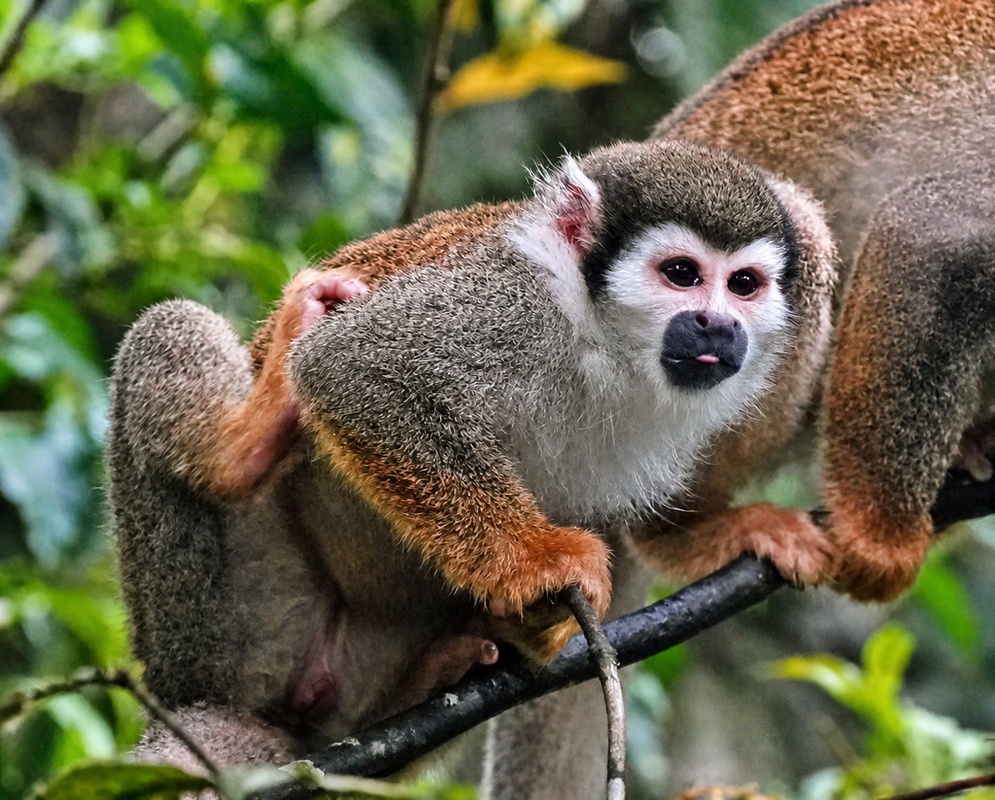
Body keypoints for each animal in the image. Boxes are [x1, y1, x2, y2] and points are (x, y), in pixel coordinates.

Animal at [108, 138, 836, 778]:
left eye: (743, 285)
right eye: (682, 274)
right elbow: (357, 366)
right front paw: (535, 562)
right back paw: (241, 446)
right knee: (168, 327)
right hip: (221, 624)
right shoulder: (507, 302)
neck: (603, 342)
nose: (719, 324)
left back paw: (437, 677)